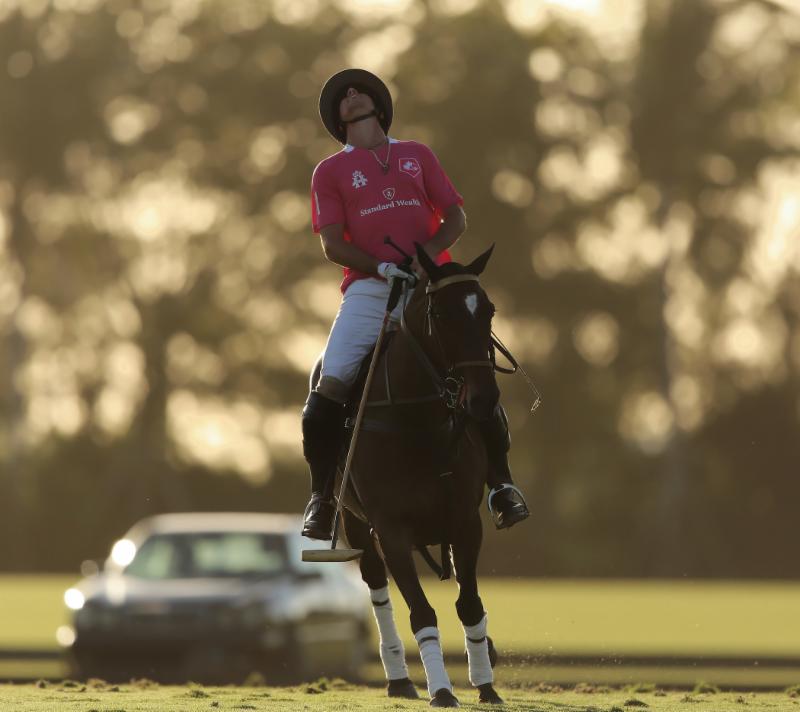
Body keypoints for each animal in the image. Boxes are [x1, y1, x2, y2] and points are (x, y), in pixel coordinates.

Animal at [329, 243, 505, 707]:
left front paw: (485, 684)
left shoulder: (466, 523)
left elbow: (470, 604)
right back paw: (399, 678)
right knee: (377, 589)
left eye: (489, 310)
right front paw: (442, 690)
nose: (484, 400)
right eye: (440, 313)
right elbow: (421, 611)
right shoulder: (390, 530)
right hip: (353, 523)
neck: (418, 419)